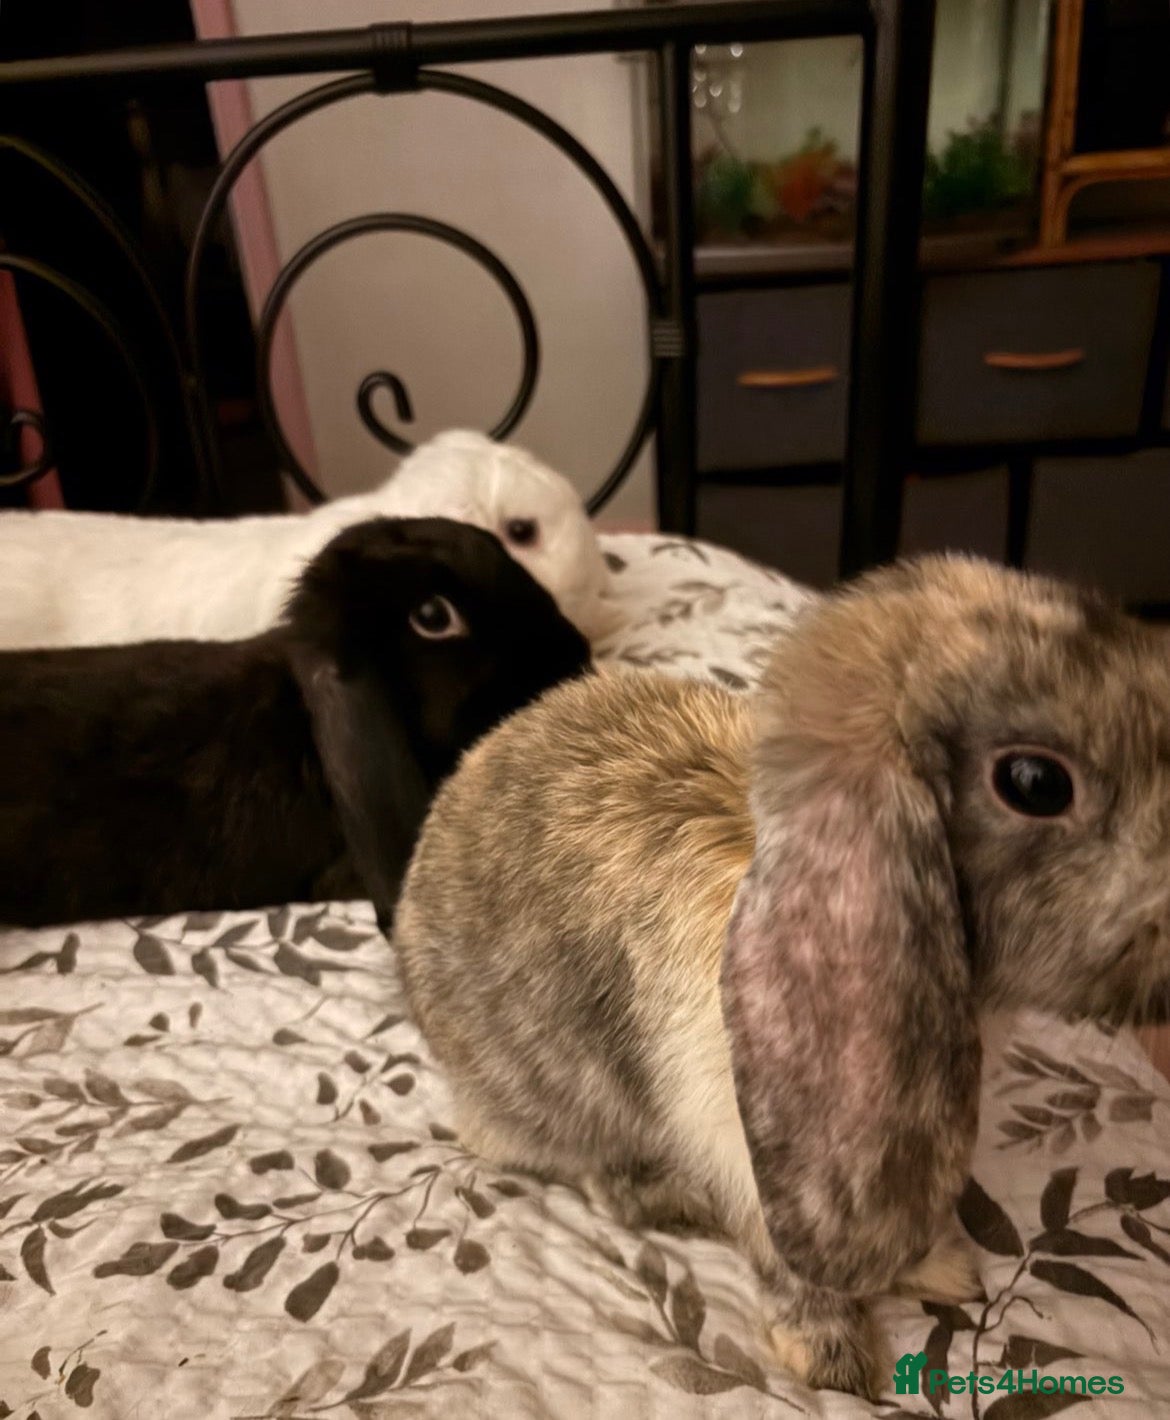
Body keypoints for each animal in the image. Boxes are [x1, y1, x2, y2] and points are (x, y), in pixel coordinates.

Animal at [394, 552, 1170, 1400]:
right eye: (1036, 783)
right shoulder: (751, 1140)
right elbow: (793, 1264)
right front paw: (833, 1360)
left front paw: (941, 1270)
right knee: (604, 1177)